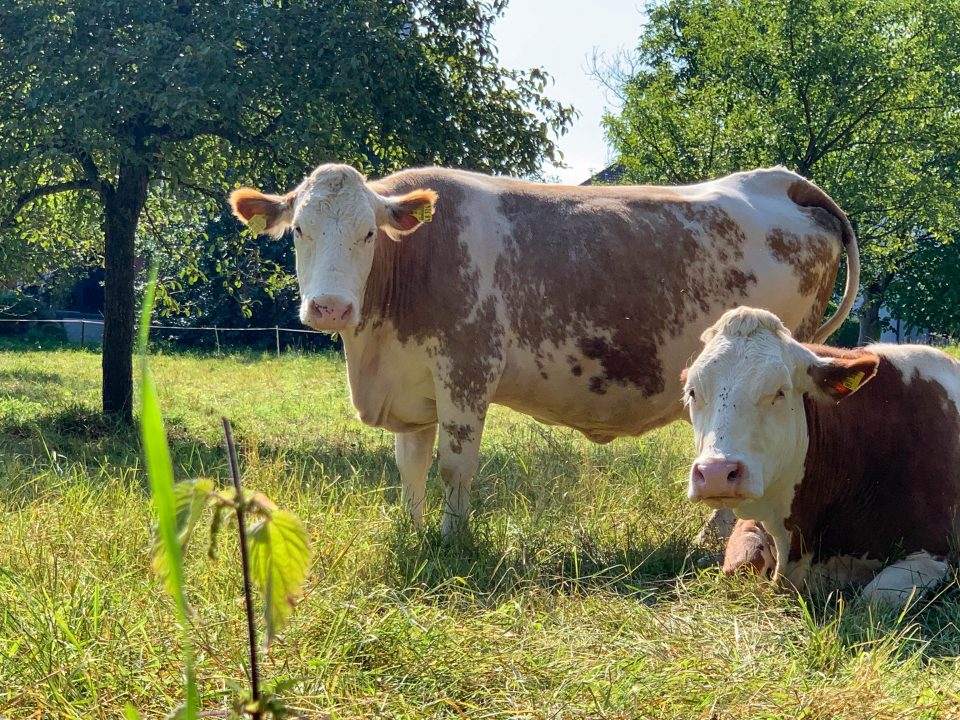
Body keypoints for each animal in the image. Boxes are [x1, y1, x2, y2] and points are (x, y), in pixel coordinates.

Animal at [229, 163, 858, 537]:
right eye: (300, 230)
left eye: (368, 234)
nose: (330, 308)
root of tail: (782, 181)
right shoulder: (413, 388)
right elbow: (410, 466)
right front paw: (415, 533)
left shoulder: (467, 370)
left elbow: (455, 466)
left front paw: (452, 541)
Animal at [683, 306, 955, 605]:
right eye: (692, 392)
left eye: (780, 391)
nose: (716, 473)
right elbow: (741, 564)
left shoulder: (934, 551)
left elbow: (870, 599)